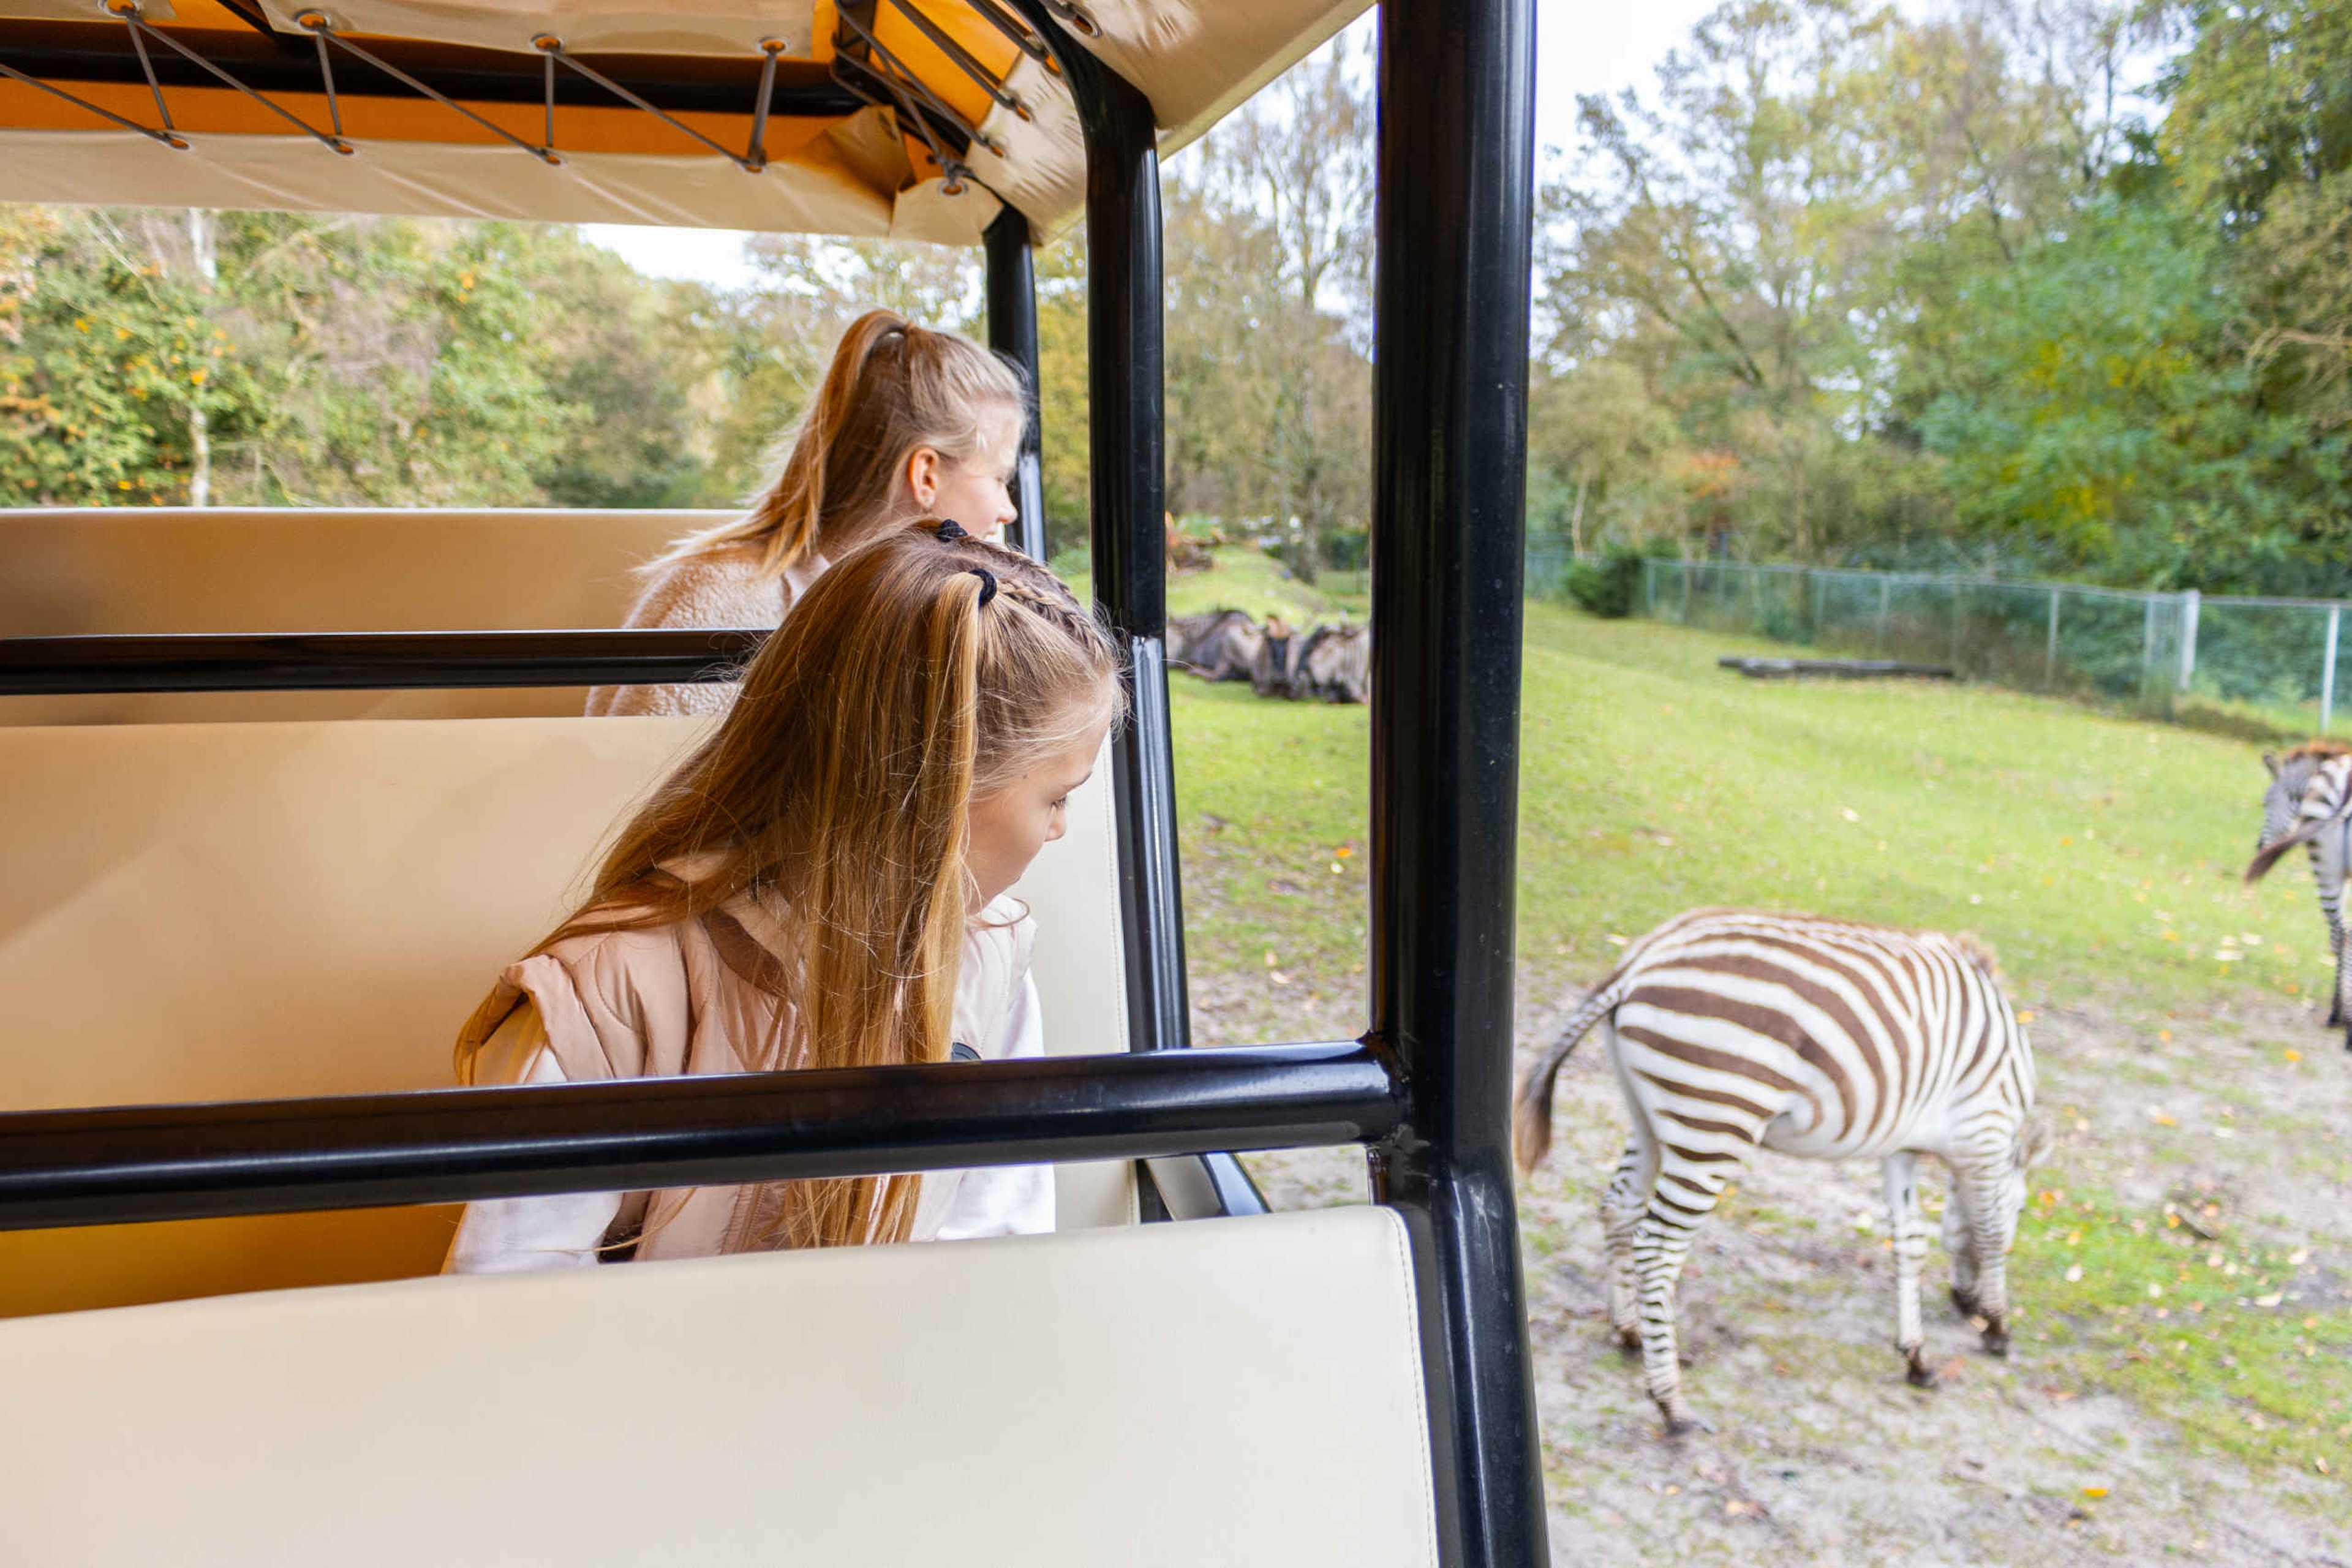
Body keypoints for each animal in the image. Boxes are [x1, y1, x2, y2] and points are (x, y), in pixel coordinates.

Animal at [1512, 909, 2052, 1436]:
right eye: (2024, 1207)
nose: (1964, 1304)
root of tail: (1638, 962)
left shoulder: (1902, 1148)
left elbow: (1910, 1244)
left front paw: (1916, 1356)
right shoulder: (1983, 1135)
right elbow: (1987, 1231)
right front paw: (1997, 1328)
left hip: (1649, 1115)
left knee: (1617, 1208)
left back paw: (1628, 1333)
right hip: (1714, 1124)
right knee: (1658, 1247)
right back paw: (1671, 1404)